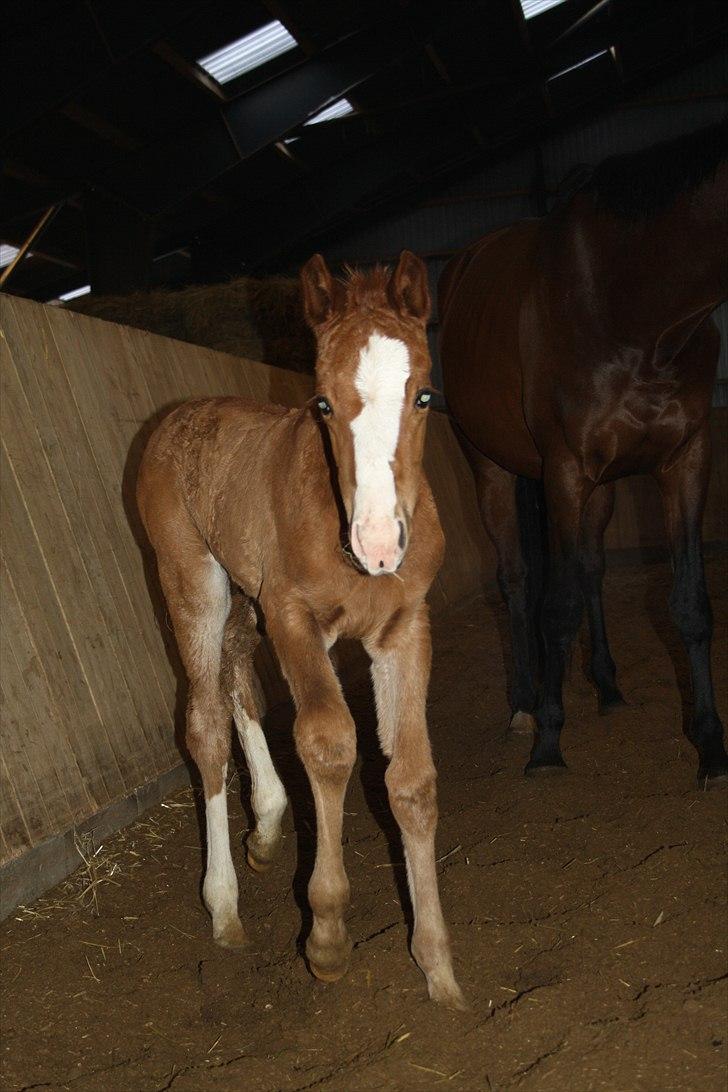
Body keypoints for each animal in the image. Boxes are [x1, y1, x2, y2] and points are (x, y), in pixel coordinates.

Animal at [438, 119, 728, 786]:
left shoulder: (684, 461)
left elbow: (690, 607)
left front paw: (711, 748)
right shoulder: (565, 472)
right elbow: (556, 604)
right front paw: (548, 740)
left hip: (603, 487)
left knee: (591, 568)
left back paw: (607, 687)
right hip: (492, 469)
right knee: (517, 579)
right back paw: (523, 705)